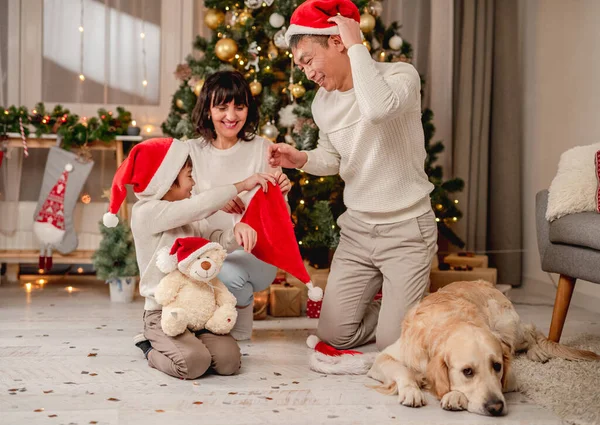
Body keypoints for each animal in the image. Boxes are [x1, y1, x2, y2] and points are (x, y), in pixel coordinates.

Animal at [366, 280, 600, 416]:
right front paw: (412, 390)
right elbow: (402, 370)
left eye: (497, 366)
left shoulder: (511, 378)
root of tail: (483, 281)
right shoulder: (382, 359)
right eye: (467, 371)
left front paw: (454, 395)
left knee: (530, 332)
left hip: (507, 328)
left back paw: (537, 352)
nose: (496, 407)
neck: (450, 322)